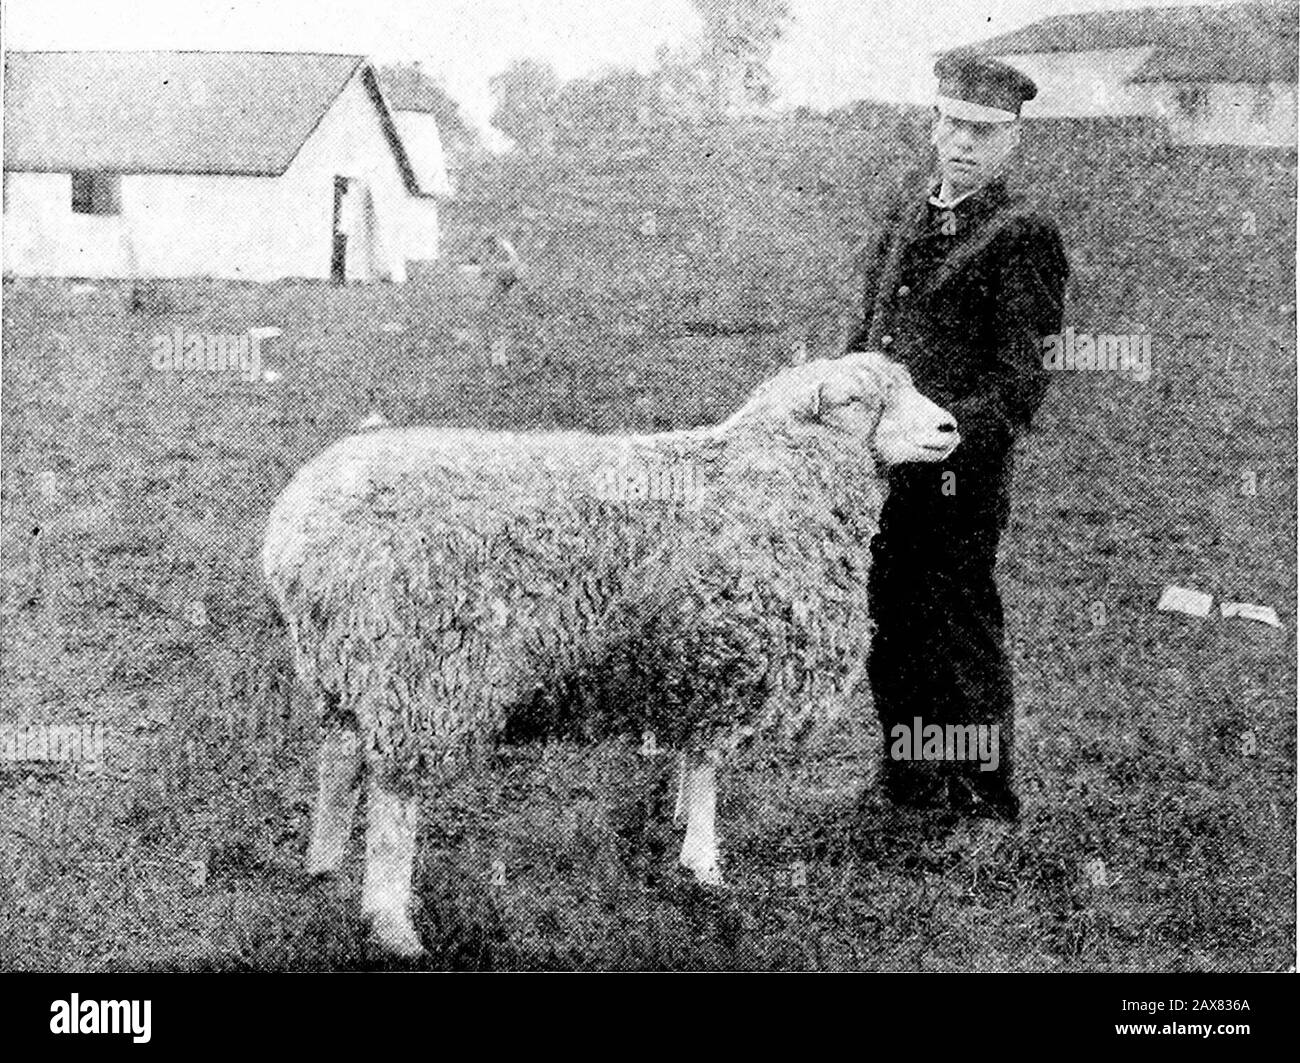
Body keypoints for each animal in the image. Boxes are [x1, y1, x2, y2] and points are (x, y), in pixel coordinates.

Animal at [261, 350, 956, 951]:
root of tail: (297, 527)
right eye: (854, 400)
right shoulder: (726, 654)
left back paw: (324, 867)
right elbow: (709, 763)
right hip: (421, 671)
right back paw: (393, 927)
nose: (949, 427)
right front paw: (704, 864)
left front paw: (678, 824)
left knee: (338, 761)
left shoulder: (689, 659)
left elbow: (690, 757)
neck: (773, 475)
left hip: (348, 664)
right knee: (392, 800)